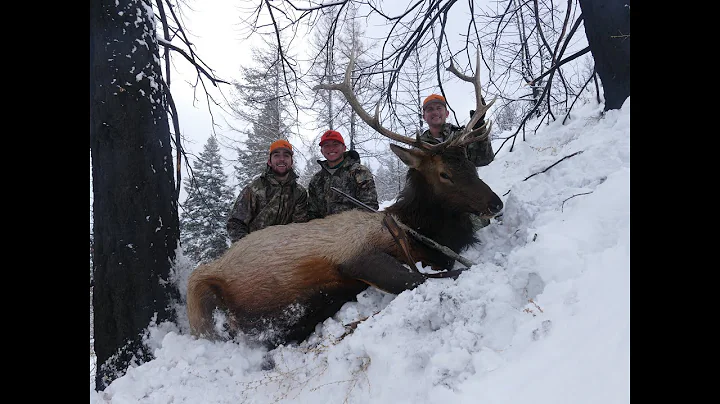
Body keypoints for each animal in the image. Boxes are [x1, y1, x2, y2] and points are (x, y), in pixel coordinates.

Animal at [186, 51, 503, 348]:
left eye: (470, 164)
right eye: (444, 173)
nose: (495, 203)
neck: (416, 229)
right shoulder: (356, 254)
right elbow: (426, 277)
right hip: (198, 292)